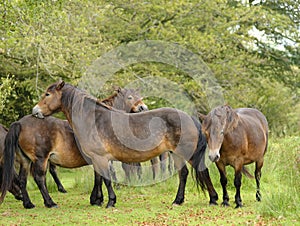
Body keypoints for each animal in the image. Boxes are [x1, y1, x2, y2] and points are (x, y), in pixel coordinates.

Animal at [0, 87, 148, 208]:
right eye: (130, 97)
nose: (143, 108)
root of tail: (20, 123)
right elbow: (106, 175)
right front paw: (100, 198)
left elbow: (98, 177)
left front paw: (96, 199)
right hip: (41, 159)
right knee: (40, 178)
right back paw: (50, 202)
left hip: (26, 160)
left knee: (23, 180)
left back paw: (28, 203)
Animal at [29, 81, 218, 208]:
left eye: (47, 94)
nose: (35, 111)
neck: (93, 118)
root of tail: (189, 117)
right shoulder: (97, 159)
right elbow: (101, 178)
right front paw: (99, 200)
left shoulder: (101, 158)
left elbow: (106, 179)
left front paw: (110, 202)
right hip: (176, 155)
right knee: (183, 174)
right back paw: (178, 200)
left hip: (186, 154)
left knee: (200, 171)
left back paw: (213, 199)